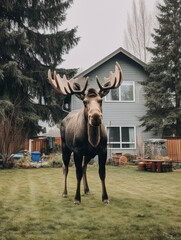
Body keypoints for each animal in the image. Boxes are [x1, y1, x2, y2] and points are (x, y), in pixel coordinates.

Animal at [48, 62, 123, 204]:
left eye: (100, 100)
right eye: (84, 102)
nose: (95, 116)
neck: (93, 140)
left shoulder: (102, 149)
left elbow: (102, 172)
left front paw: (105, 197)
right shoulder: (77, 150)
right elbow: (76, 173)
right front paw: (77, 198)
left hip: (89, 154)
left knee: (84, 167)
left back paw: (87, 189)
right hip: (65, 147)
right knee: (65, 167)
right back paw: (65, 193)